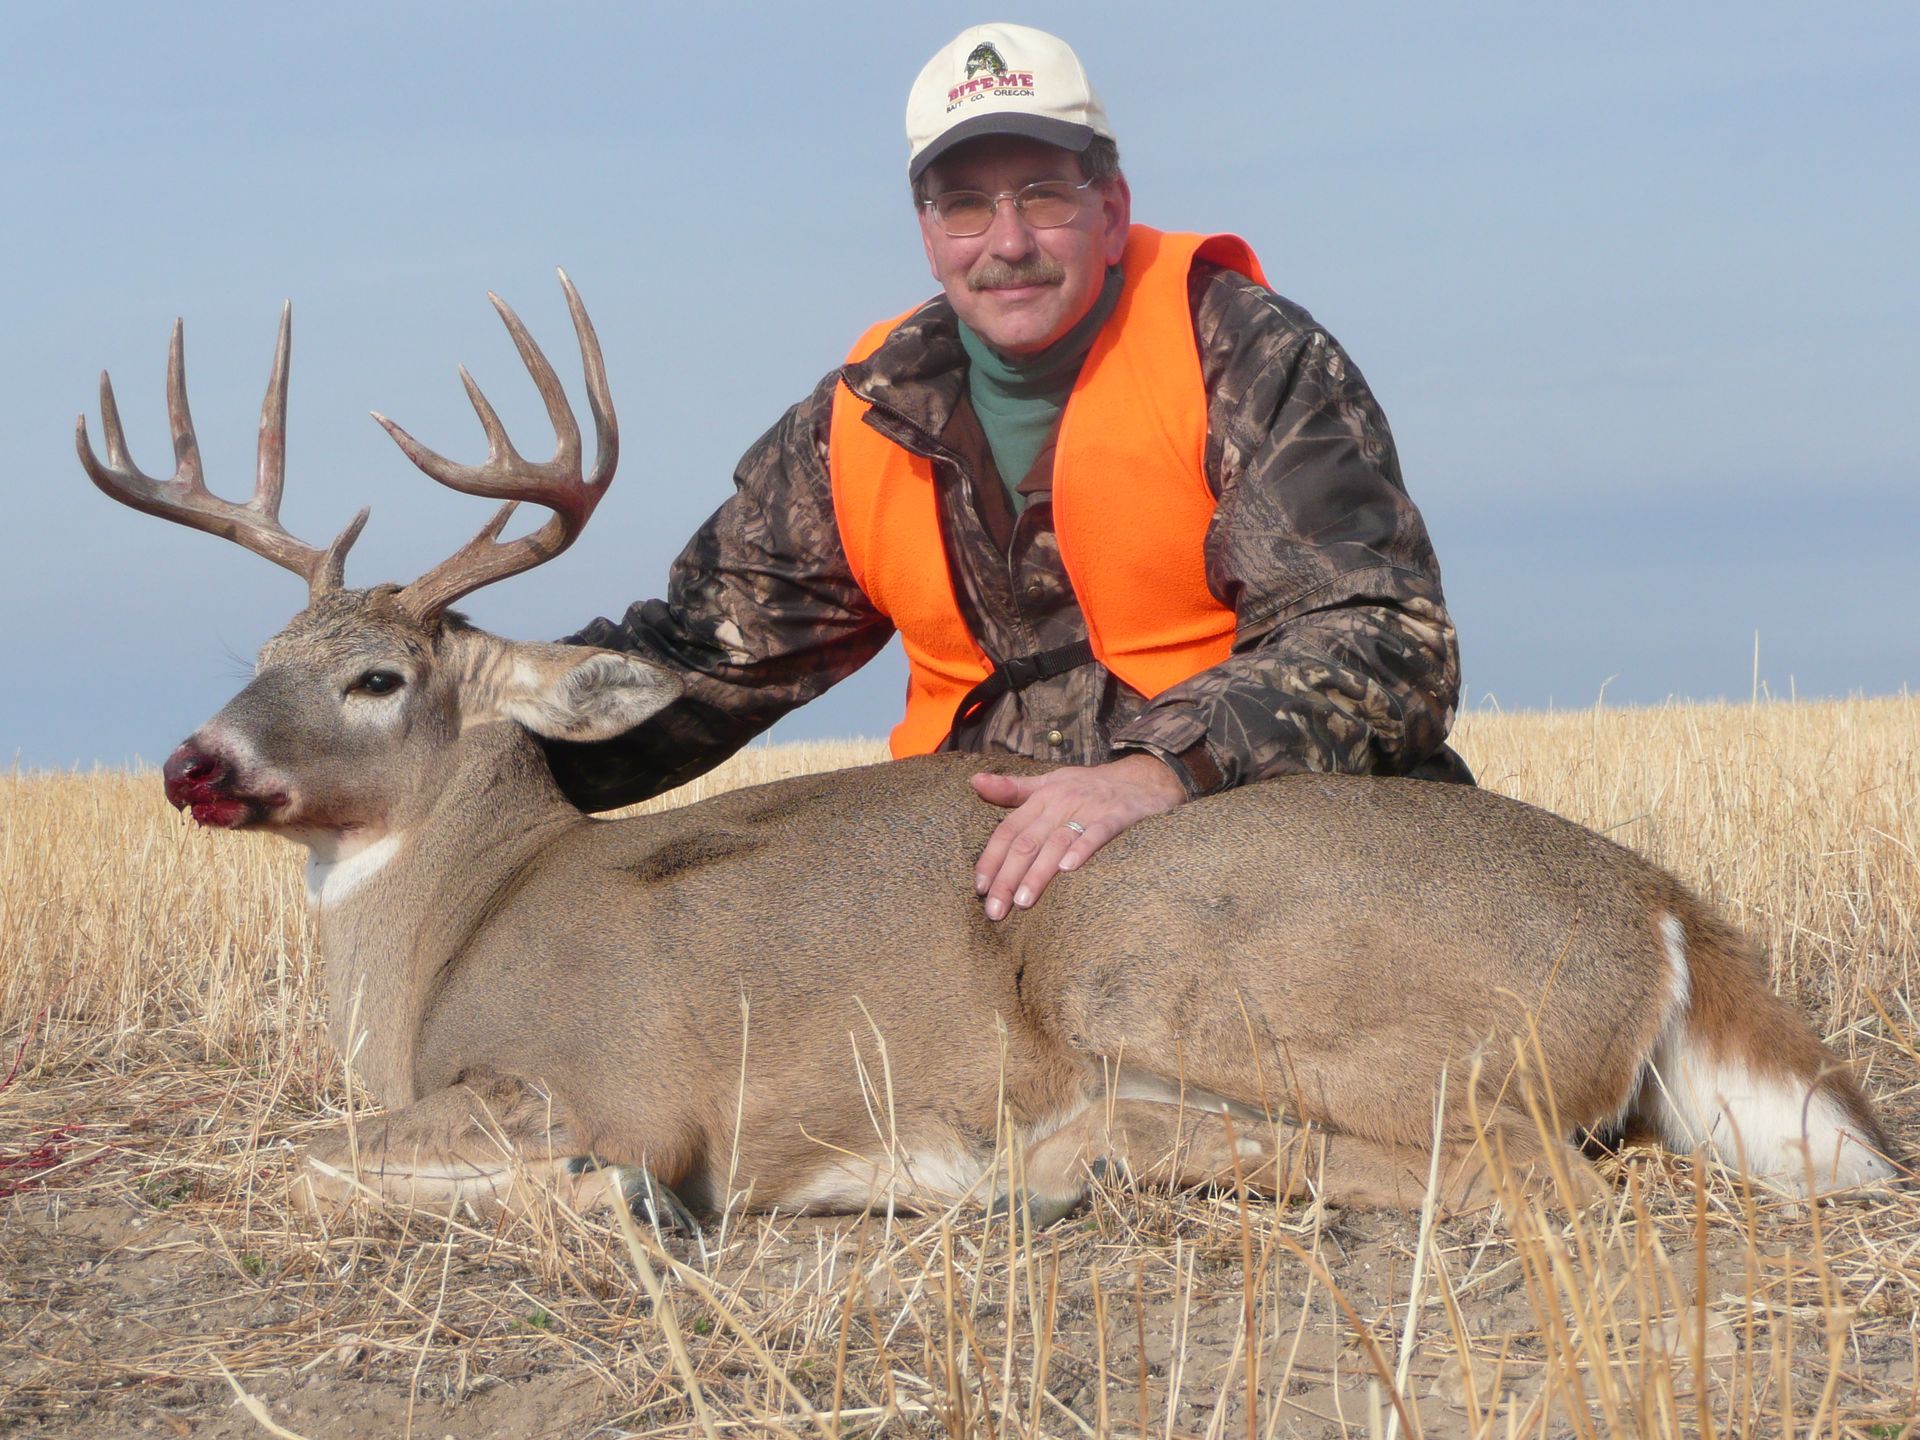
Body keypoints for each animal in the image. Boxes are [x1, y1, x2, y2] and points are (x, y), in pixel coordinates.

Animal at [77, 273, 1896, 1230]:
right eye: (258, 662)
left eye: (380, 677)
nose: (195, 765)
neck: (453, 935)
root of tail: (1658, 908)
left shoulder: (606, 1080)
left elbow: (298, 1157)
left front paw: (622, 1204)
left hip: (1153, 952)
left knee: (1518, 1170)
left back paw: (1059, 1157)